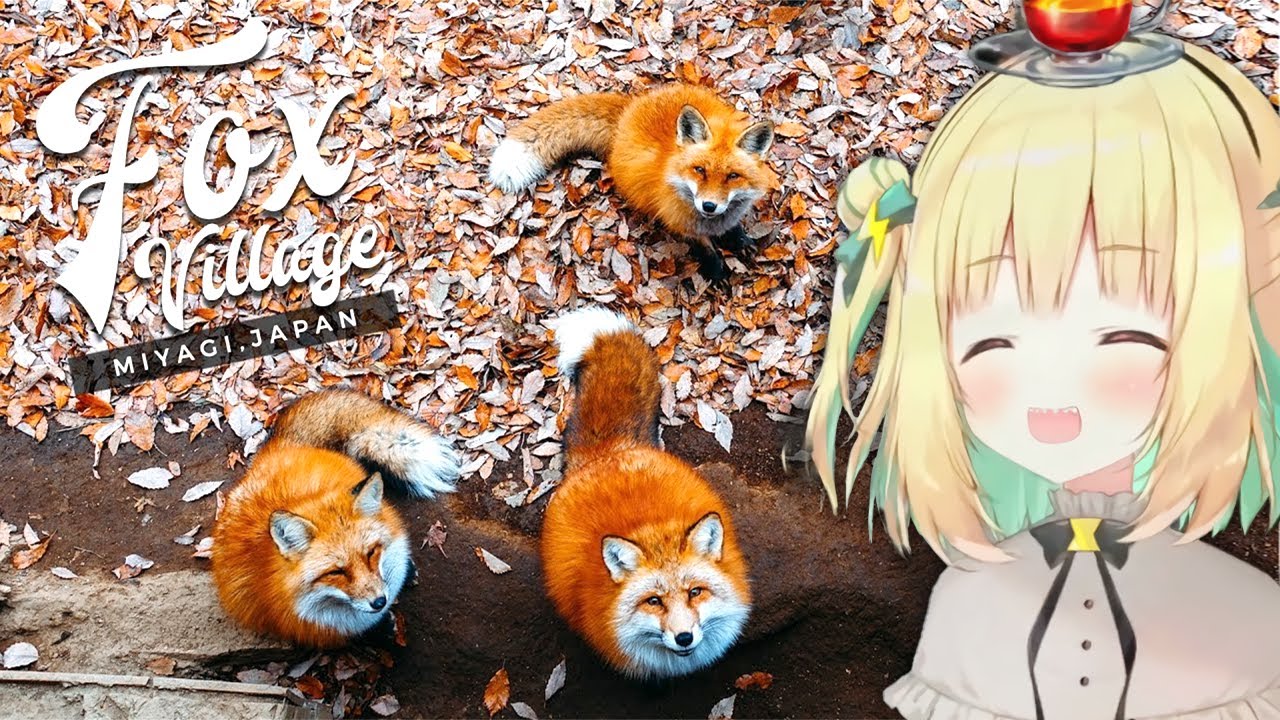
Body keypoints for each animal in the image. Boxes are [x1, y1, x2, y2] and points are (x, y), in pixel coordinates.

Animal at [488, 84, 777, 284]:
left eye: (732, 176)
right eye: (699, 170)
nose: (709, 206)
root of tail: (631, 105)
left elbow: (733, 228)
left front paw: (739, 239)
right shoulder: (679, 223)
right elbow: (704, 247)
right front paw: (716, 269)